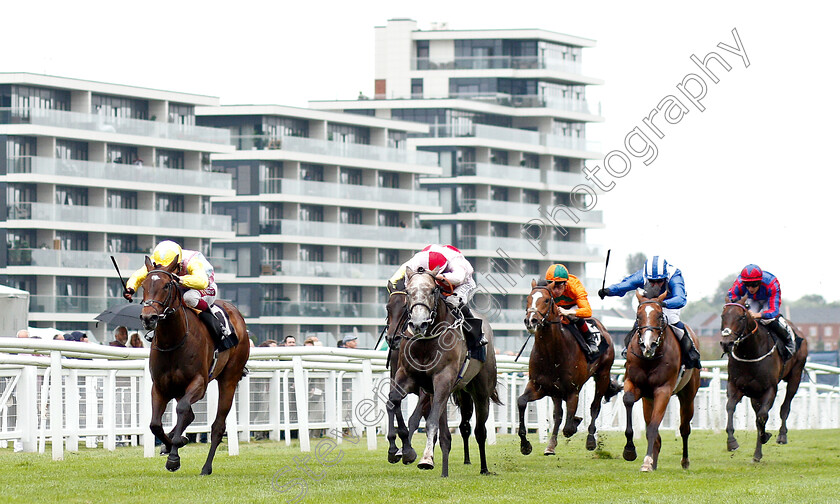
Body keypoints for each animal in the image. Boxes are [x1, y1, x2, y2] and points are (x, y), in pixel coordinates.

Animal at [137, 258, 249, 474]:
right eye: (144, 286)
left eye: (166, 285)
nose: (148, 318)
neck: (173, 341)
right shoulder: (160, 387)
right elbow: (155, 424)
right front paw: (171, 445)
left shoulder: (199, 383)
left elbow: (181, 409)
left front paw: (174, 455)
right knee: (189, 415)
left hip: (229, 378)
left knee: (217, 426)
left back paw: (206, 467)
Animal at [388, 268, 498, 476]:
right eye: (408, 293)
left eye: (432, 291)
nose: (418, 324)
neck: (425, 342)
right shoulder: (406, 377)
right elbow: (394, 403)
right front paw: (400, 450)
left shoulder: (442, 380)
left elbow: (430, 421)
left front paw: (425, 458)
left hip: (480, 391)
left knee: (479, 431)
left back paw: (484, 468)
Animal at [516, 280, 620, 456]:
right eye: (528, 299)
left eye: (546, 300)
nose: (531, 321)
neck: (551, 353)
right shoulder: (539, 386)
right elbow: (521, 401)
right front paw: (525, 445)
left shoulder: (573, 391)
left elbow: (569, 428)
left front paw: (577, 422)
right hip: (556, 392)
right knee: (558, 415)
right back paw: (550, 446)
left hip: (603, 375)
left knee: (595, 407)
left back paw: (591, 440)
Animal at [624, 290, 704, 470]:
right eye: (638, 316)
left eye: (660, 316)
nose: (648, 345)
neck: (649, 359)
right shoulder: (633, 383)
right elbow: (628, 400)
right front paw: (630, 450)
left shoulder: (663, 390)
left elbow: (653, 428)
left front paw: (647, 461)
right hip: (648, 399)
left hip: (688, 395)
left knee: (684, 428)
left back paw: (684, 461)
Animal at [720, 298, 808, 462]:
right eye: (723, 316)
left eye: (741, 317)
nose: (726, 343)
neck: (750, 354)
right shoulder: (735, 386)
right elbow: (730, 408)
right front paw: (732, 442)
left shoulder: (769, 389)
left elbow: (762, 417)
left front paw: (764, 438)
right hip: (755, 394)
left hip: (796, 375)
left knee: (785, 407)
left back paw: (782, 436)